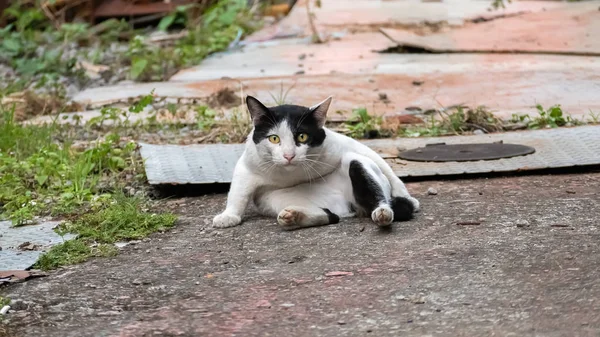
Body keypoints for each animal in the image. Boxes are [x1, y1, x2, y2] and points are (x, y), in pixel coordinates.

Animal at [213, 96, 420, 230]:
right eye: (274, 138)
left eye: (302, 136)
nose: (289, 155)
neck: (290, 175)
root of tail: (348, 206)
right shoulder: (248, 165)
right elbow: (238, 193)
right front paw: (229, 216)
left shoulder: (342, 144)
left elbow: (383, 164)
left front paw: (406, 195)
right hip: (271, 199)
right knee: (331, 216)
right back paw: (294, 216)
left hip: (355, 162)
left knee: (373, 192)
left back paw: (383, 212)